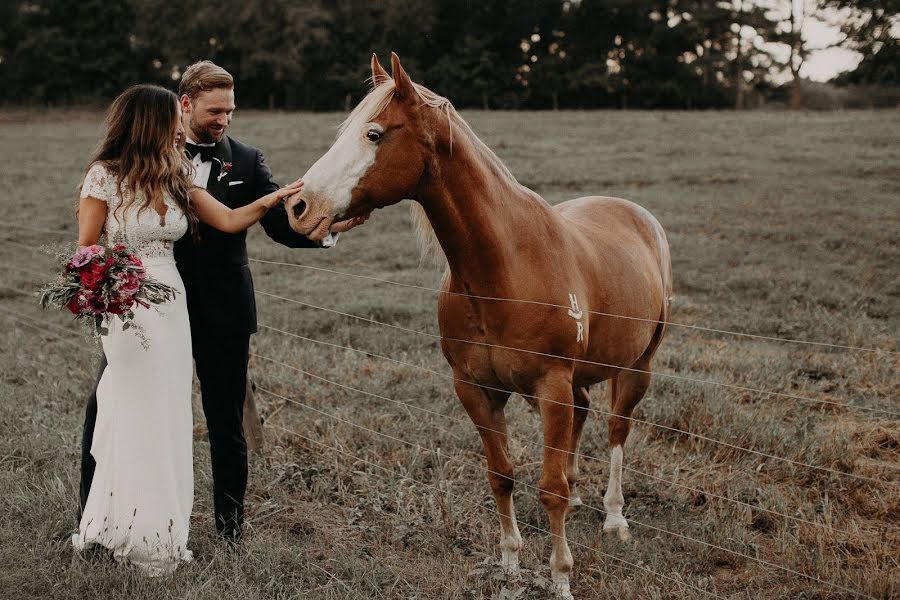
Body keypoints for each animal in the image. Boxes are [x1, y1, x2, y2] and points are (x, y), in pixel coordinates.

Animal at [284, 54, 672, 596]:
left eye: (374, 134)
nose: (299, 207)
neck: (504, 269)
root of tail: (638, 215)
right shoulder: (475, 389)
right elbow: (501, 475)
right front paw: (510, 564)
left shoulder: (550, 385)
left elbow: (549, 489)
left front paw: (560, 578)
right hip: (575, 383)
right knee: (584, 416)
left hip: (637, 367)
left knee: (617, 429)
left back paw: (615, 518)